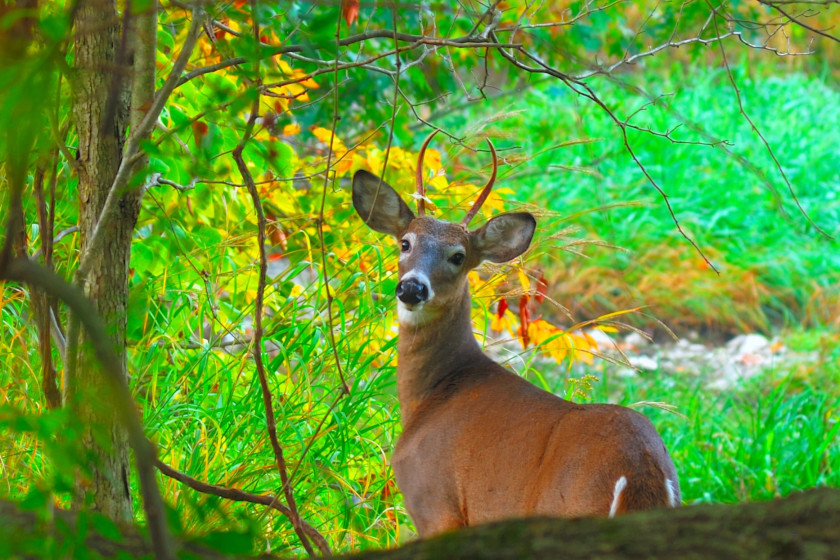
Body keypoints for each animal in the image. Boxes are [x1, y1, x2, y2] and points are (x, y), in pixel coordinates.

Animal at [352, 131, 680, 540]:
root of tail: (640, 471)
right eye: (405, 243)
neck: (433, 393)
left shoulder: (434, 501)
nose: (412, 288)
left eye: (458, 256)